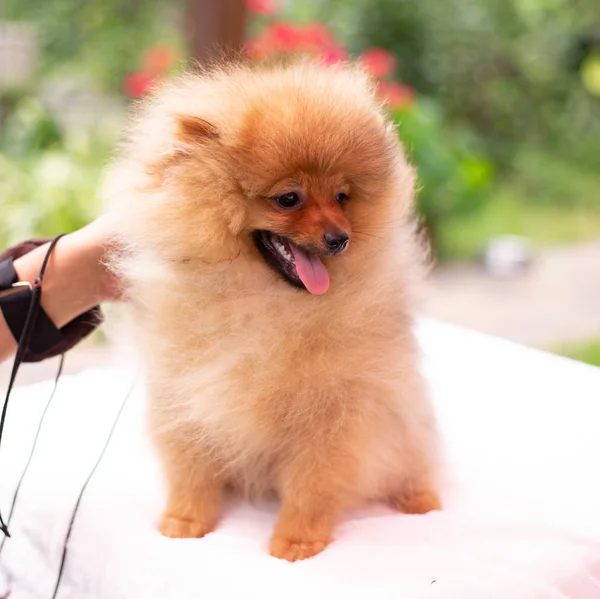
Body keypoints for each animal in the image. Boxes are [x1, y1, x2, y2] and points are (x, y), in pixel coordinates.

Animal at [103, 58, 440, 560]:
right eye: (288, 199)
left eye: (342, 197)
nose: (339, 237)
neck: (262, 300)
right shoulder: (181, 391)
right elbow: (189, 467)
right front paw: (185, 521)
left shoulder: (334, 414)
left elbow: (313, 484)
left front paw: (296, 541)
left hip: (403, 423)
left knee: (413, 462)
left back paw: (420, 501)